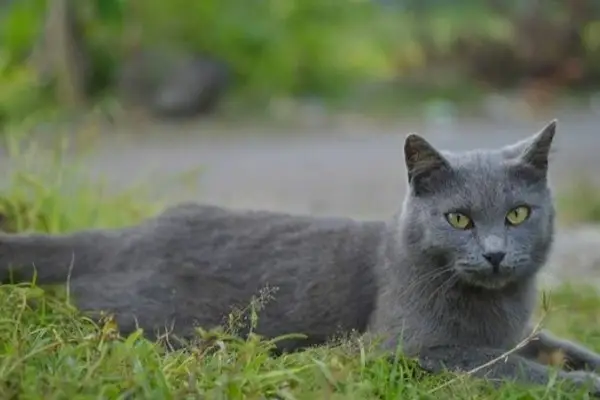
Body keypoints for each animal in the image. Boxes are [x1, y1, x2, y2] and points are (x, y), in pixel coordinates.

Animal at [1, 119, 600, 394]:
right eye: (459, 220)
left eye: (518, 215)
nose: (496, 254)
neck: (499, 307)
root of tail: (125, 234)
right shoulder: (406, 348)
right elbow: (507, 367)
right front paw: (583, 387)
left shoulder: (521, 331)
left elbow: (556, 348)